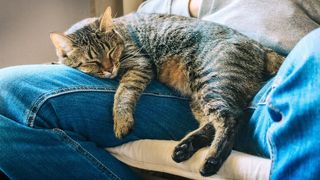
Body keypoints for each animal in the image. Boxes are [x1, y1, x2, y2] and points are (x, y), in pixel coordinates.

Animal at [48, 7, 284, 177]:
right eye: (93, 61)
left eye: (111, 51)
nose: (109, 68)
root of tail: (261, 48)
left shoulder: (139, 65)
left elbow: (123, 92)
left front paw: (122, 119)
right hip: (199, 97)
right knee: (211, 123)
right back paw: (185, 147)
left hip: (213, 82)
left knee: (231, 119)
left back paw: (212, 160)